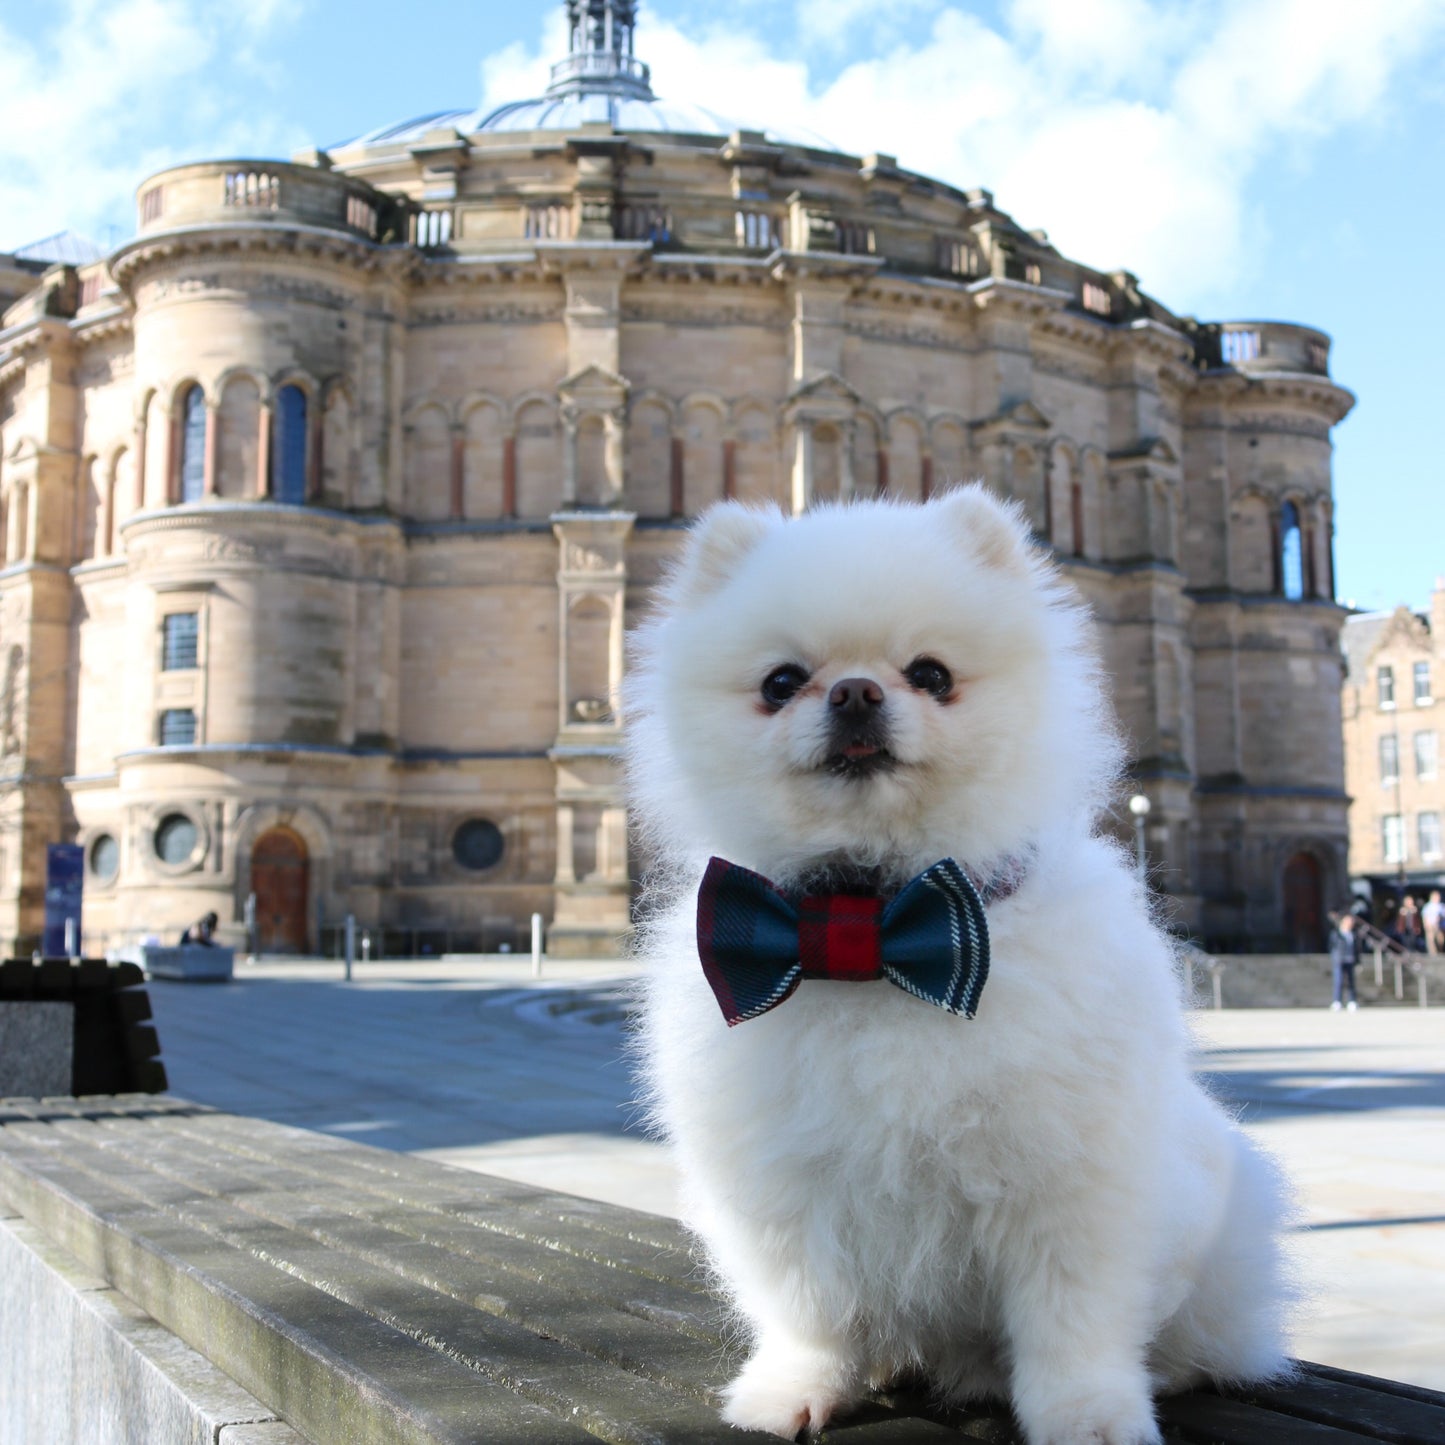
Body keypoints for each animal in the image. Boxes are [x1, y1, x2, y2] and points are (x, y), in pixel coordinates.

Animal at [627, 485, 1294, 1445]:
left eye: (932, 674)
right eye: (780, 682)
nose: (855, 691)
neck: (874, 929)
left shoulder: (1071, 1181)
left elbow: (1072, 1319)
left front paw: (1087, 1413)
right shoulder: (781, 1183)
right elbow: (806, 1308)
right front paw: (793, 1389)